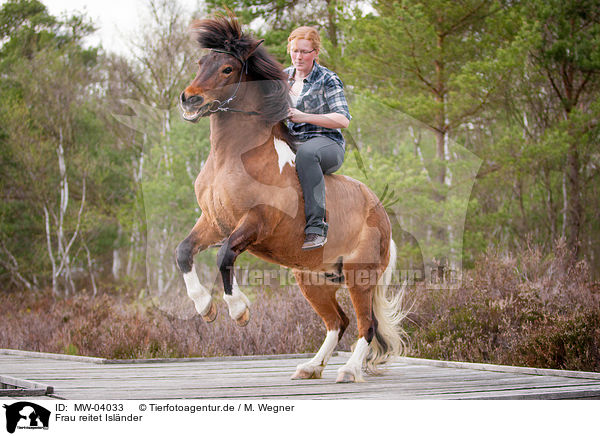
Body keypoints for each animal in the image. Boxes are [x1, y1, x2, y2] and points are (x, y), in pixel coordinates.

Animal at [176, 14, 406, 382]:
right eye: (201, 62)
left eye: (227, 69)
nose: (189, 100)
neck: (235, 158)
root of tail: (382, 214)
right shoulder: (214, 222)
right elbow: (184, 251)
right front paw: (204, 307)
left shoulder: (256, 222)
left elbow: (224, 256)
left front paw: (239, 310)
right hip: (312, 279)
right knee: (337, 321)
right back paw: (311, 367)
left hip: (360, 276)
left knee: (366, 325)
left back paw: (349, 371)